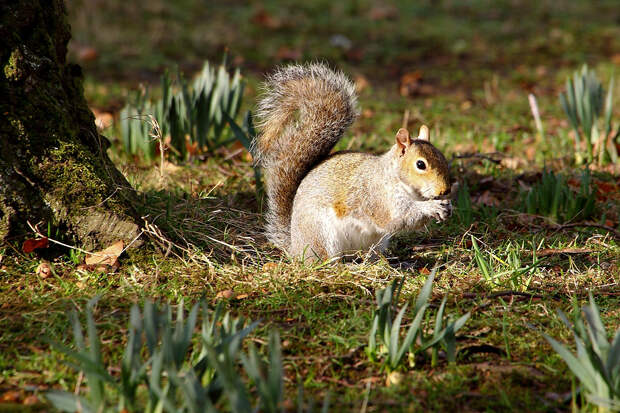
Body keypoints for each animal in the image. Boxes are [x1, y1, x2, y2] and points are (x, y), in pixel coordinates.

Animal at [252, 62, 450, 260]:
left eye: (443, 158)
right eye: (420, 165)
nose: (445, 190)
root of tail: (296, 247)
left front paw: (447, 206)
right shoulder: (377, 198)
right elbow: (397, 219)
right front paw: (431, 207)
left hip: (376, 242)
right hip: (321, 234)